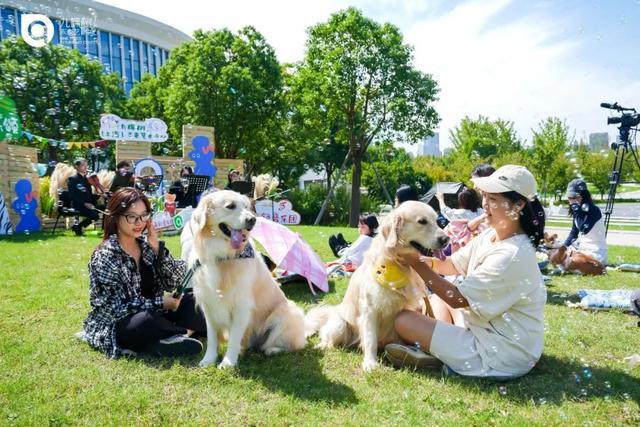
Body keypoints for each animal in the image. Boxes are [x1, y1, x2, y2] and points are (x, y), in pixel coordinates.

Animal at [181, 191, 308, 368]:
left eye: (247, 207)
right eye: (230, 206)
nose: (253, 220)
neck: (222, 256)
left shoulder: (242, 305)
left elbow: (234, 338)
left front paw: (228, 363)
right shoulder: (209, 305)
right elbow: (212, 337)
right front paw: (208, 359)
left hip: (286, 313)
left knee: (289, 344)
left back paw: (273, 350)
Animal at [306, 201, 450, 372]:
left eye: (437, 221)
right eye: (422, 221)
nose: (446, 239)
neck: (395, 262)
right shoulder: (370, 310)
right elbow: (370, 339)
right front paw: (370, 362)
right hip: (339, 325)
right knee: (328, 338)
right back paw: (322, 345)